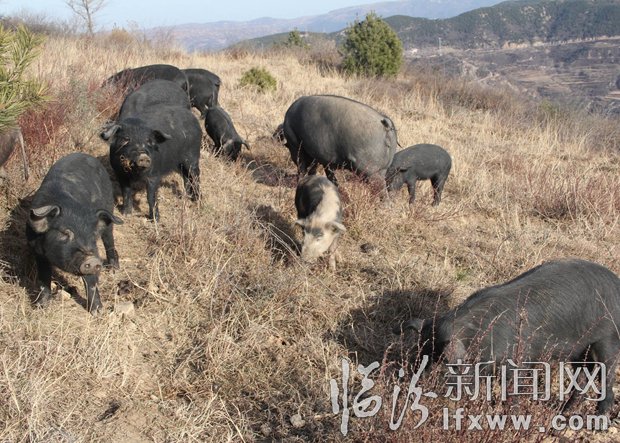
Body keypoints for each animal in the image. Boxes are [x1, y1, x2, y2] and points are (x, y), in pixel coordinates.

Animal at [26, 154, 122, 314]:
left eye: (92, 235)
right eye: (65, 233)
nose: (92, 260)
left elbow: (91, 283)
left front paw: (98, 312)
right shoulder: (37, 251)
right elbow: (43, 280)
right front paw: (40, 307)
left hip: (110, 212)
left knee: (109, 240)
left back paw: (114, 269)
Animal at [394, 260, 620, 416]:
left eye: (440, 364)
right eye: (419, 357)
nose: (411, 387)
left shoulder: (518, 360)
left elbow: (512, 390)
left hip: (607, 339)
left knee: (607, 376)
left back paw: (599, 418)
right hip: (579, 350)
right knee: (583, 376)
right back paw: (562, 411)